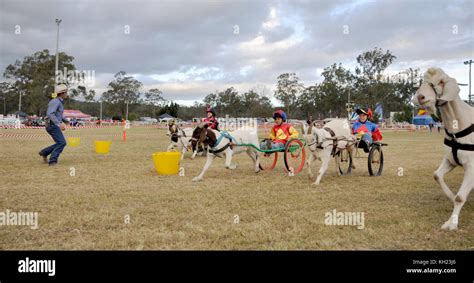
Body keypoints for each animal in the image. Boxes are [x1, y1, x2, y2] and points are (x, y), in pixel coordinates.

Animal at [416, 67, 472, 232]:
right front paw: (451, 197)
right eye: (423, 81)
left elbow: (460, 197)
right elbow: (437, 176)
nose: (420, 97)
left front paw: (452, 223)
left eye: (441, 81)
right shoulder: (450, 160)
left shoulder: (471, 166)